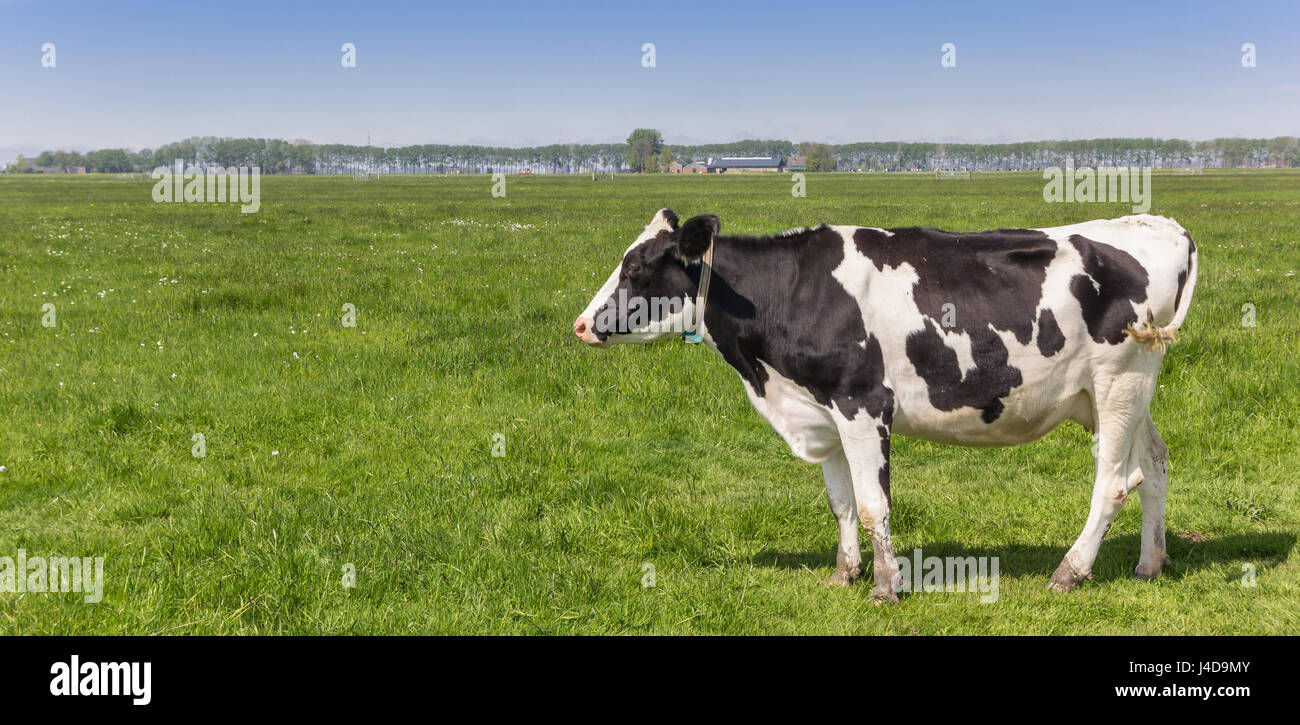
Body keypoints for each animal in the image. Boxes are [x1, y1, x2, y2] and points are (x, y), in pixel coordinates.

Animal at [573, 209, 1197, 603]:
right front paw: (844, 574)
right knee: (1156, 463)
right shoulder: (822, 410)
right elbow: (841, 502)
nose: (580, 325)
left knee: (1114, 482)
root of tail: (1159, 225)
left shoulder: (863, 405)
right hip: (1121, 392)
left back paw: (1070, 572)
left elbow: (874, 504)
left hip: (1118, 382)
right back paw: (1150, 564)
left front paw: (884, 588)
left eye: (636, 268)